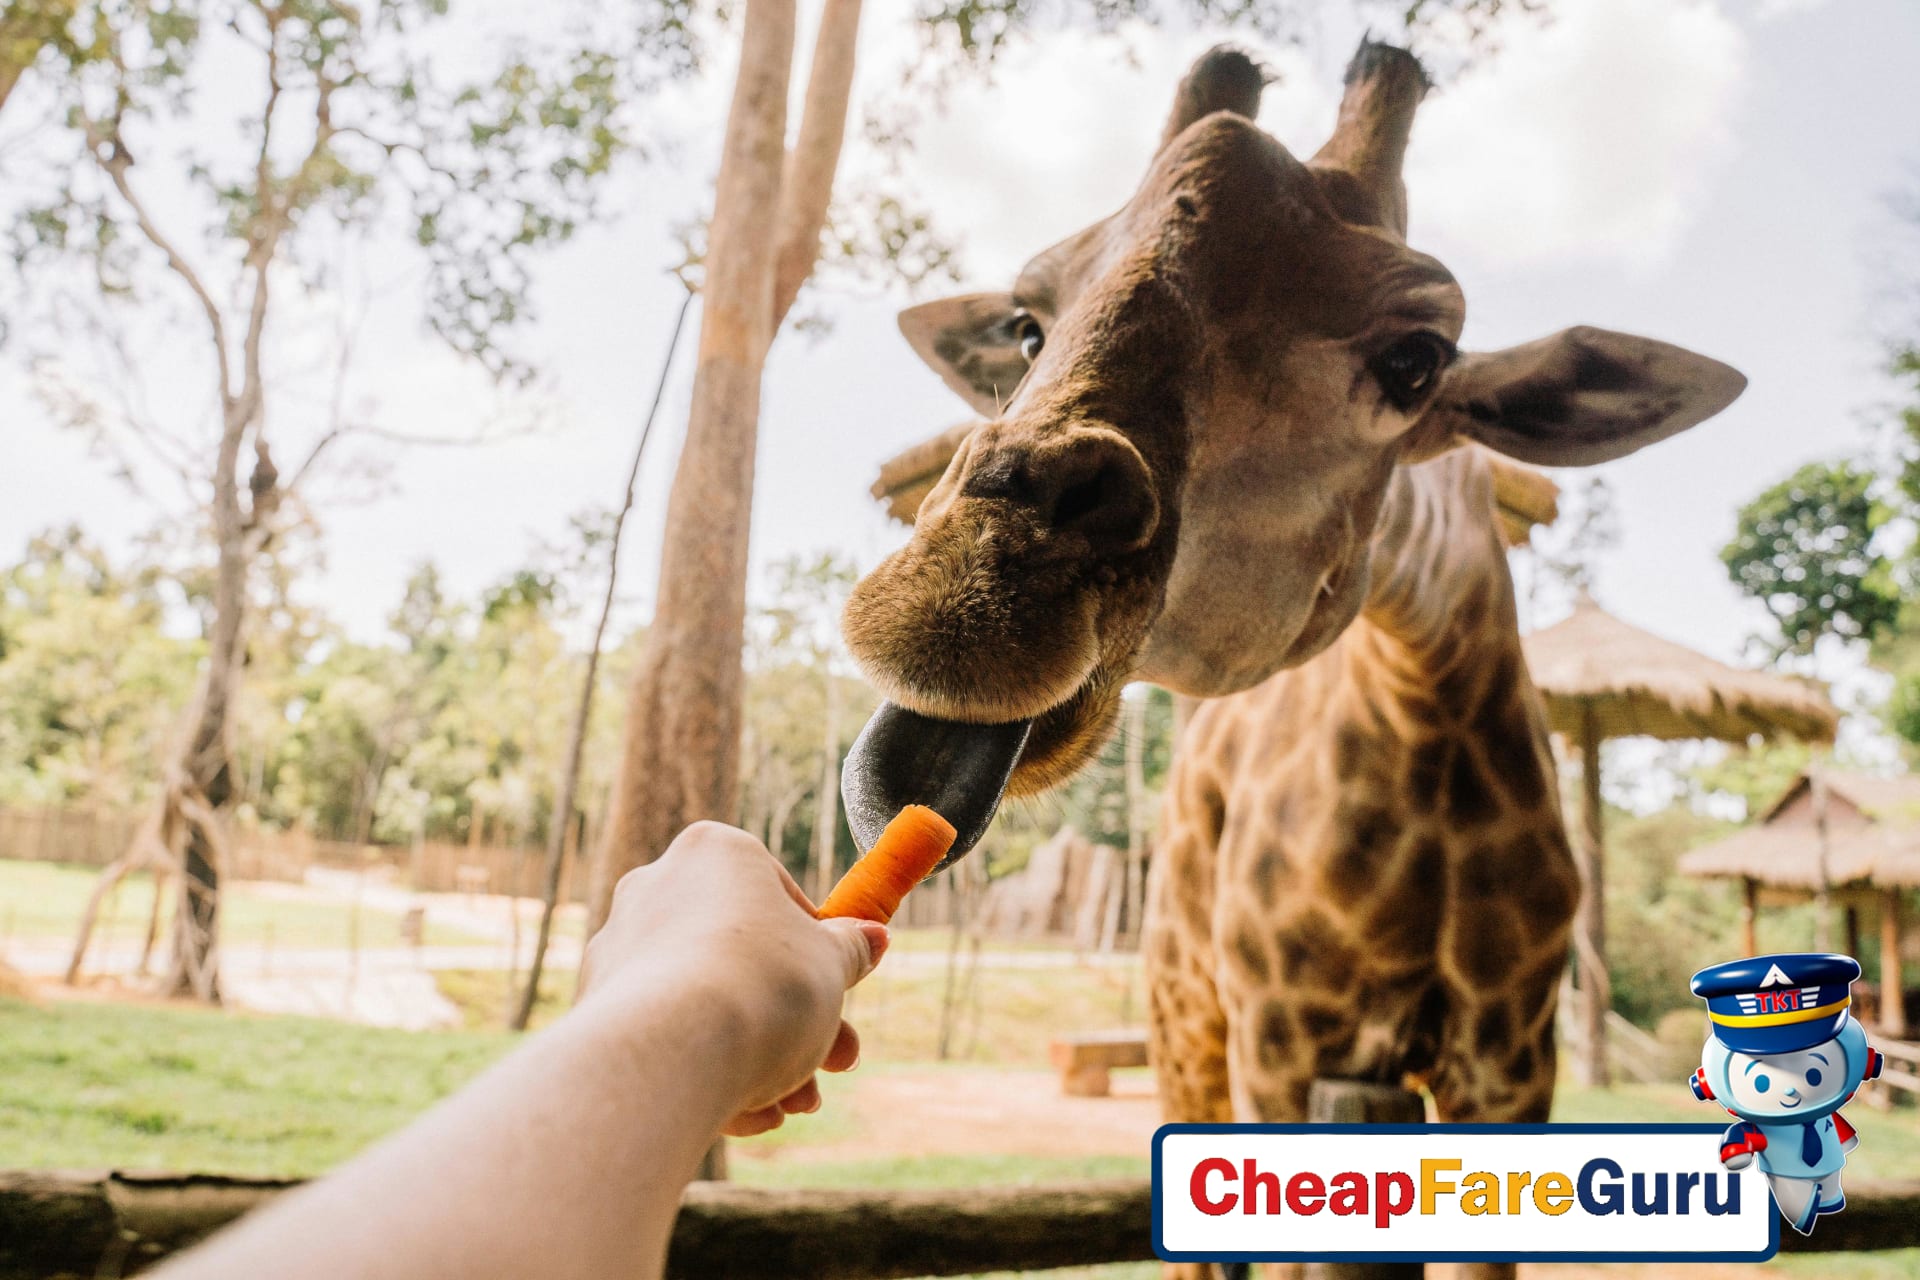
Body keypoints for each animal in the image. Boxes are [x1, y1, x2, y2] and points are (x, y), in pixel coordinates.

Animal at [837, 38, 1744, 1278]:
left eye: (1418, 358)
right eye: (1027, 325)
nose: (956, 603)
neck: (1427, 705)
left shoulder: (1509, 1058)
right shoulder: (1276, 1032)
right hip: (1185, 1013)